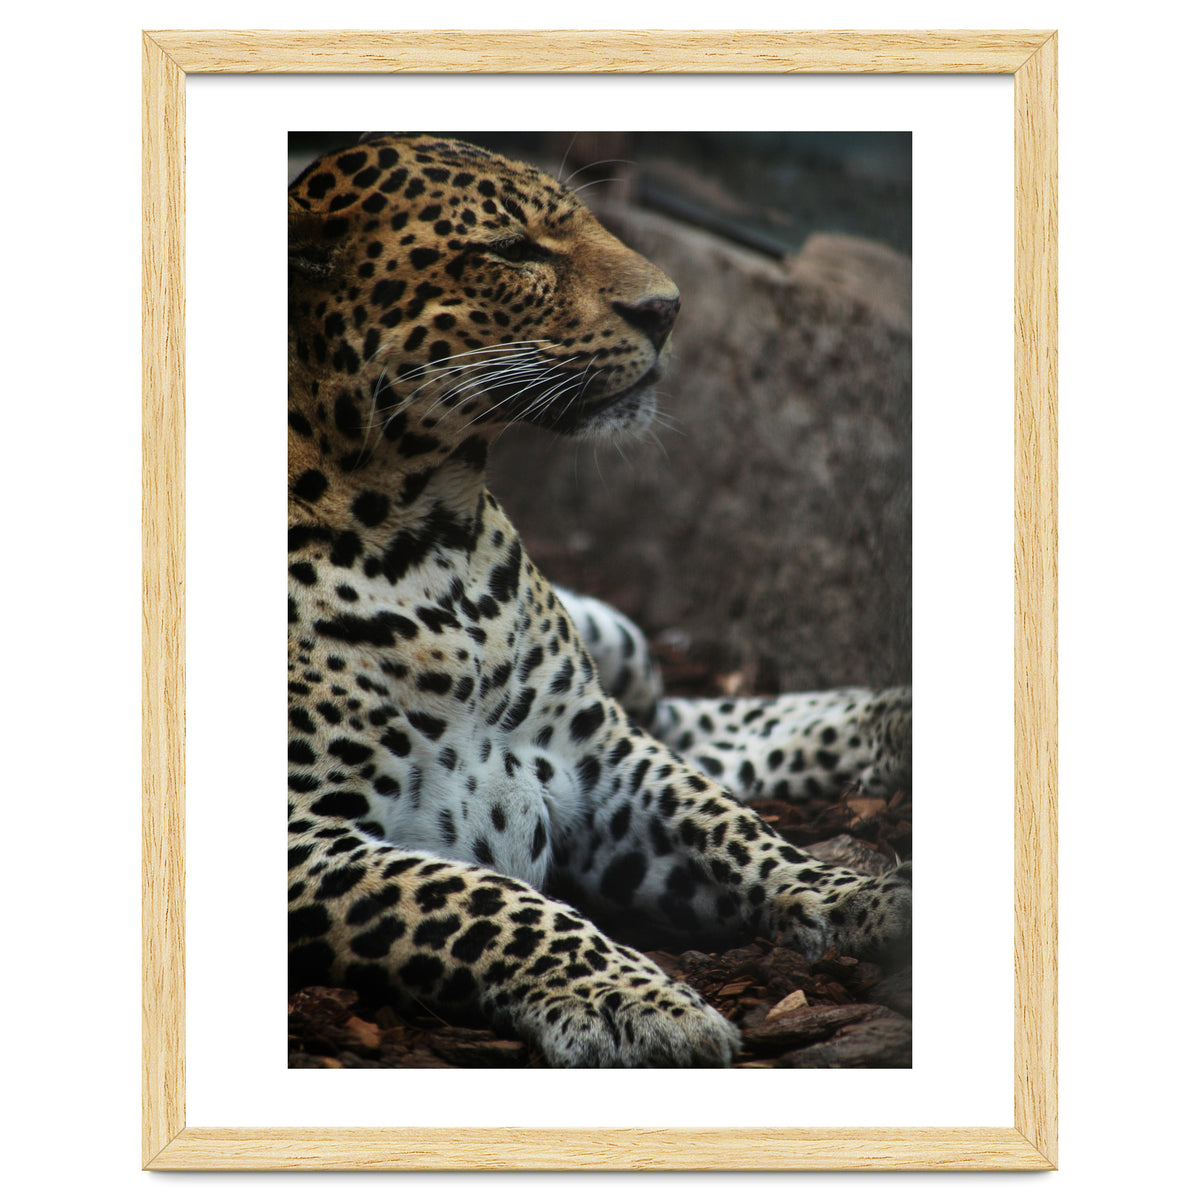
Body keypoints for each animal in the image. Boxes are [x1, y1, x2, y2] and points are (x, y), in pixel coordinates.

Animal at [287, 134, 912, 1068]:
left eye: (582, 221)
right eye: (512, 250)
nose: (669, 309)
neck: (430, 537)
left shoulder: (597, 754)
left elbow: (730, 826)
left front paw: (861, 897)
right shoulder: (303, 839)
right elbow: (482, 901)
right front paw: (637, 1002)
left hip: (620, 651)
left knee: (685, 722)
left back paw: (893, 720)